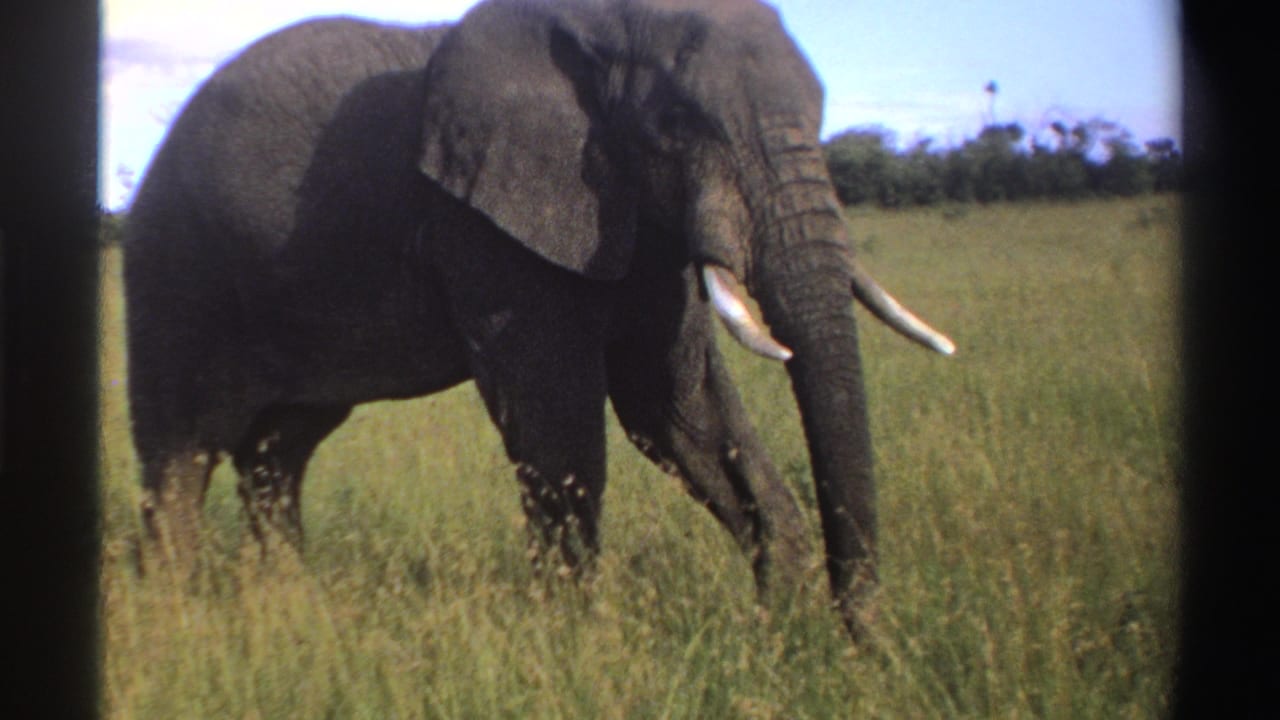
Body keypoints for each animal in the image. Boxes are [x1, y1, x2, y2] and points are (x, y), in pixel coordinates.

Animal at [123, 0, 954, 632]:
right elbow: (558, 422)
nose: (862, 642)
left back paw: (290, 604)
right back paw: (175, 617)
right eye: (676, 124)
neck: (597, 24)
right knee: (179, 455)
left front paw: (778, 616)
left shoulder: (638, 219)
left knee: (278, 455)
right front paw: (578, 637)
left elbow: (677, 406)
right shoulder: (486, 221)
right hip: (174, 272)